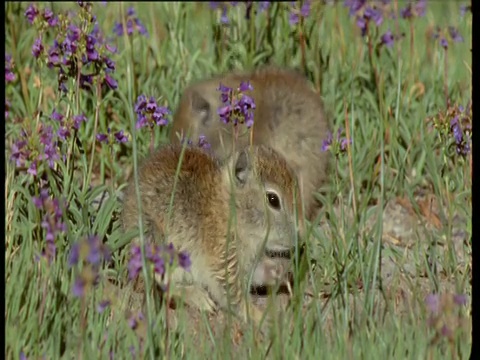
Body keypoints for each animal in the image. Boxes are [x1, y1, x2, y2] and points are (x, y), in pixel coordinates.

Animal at [121, 144, 304, 326]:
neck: (228, 208)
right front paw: (264, 319)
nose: (298, 239)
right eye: (273, 199)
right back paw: (198, 297)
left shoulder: (247, 262)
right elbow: (235, 298)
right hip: (156, 243)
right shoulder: (224, 263)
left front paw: (281, 272)